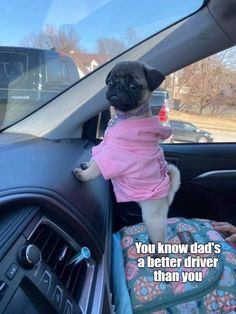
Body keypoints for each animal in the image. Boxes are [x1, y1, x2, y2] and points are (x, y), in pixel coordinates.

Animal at [73, 61, 180, 247]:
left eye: (133, 86)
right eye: (110, 82)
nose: (117, 86)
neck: (124, 117)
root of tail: (167, 196)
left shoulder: (113, 155)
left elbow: (95, 168)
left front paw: (83, 175)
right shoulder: (105, 144)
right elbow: (94, 158)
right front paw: (86, 163)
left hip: (152, 220)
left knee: (161, 238)